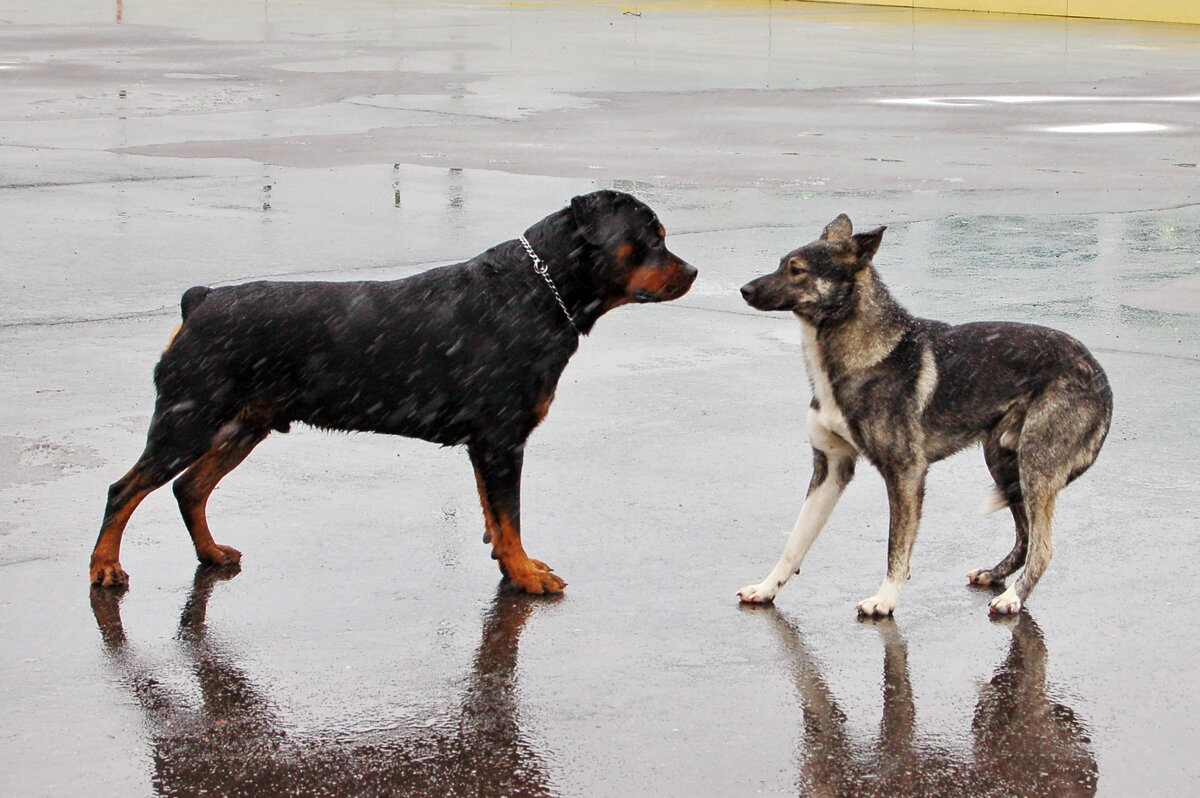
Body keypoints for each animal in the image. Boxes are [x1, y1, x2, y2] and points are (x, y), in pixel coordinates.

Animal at [88, 189, 700, 595]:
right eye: (652, 239)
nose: (693, 271)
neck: (537, 291)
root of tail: (200, 300)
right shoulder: (502, 439)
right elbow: (511, 517)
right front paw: (525, 574)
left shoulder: (488, 446)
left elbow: (494, 516)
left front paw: (511, 564)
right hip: (188, 418)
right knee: (124, 490)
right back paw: (104, 569)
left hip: (244, 425)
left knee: (189, 488)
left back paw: (211, 553)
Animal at [734, 216, 1108, 614]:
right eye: (780, 263)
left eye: (797, 270)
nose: (744, 290)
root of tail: (1098, 372)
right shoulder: (831, 469)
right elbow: (794, 543)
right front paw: (767, 588)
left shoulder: (905, 474)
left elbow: (896, 548)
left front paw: (885, 599)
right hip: (1004, 464)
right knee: (1025, 537)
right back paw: (995, 574)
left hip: (1035, 468)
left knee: (1042, 546)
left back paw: (1013, 597)